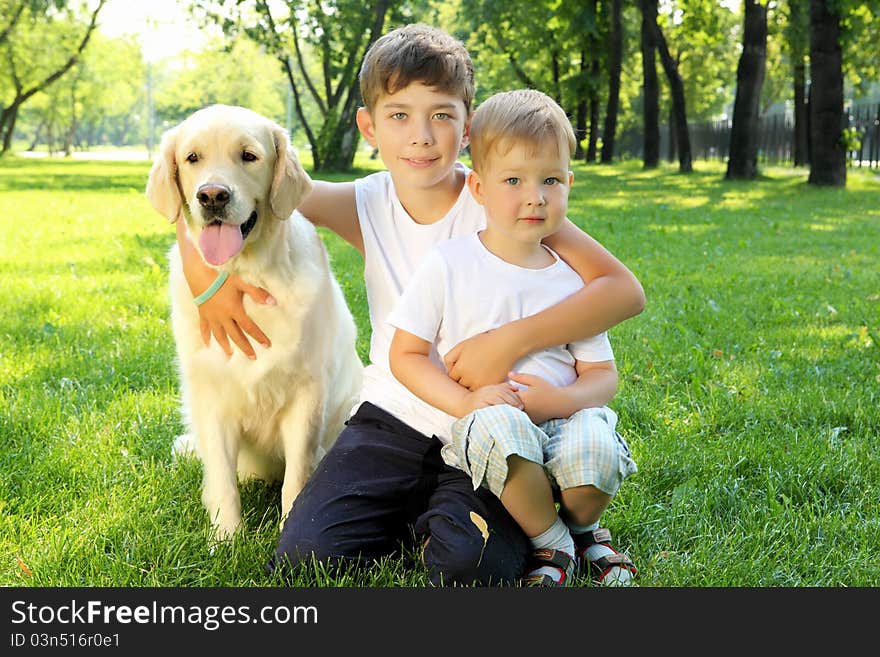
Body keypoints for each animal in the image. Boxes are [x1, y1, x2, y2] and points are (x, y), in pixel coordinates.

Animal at [146, 105, 362, 540]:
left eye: (249, 156)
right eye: (192, 158)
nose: (212, 195)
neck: (249, 278)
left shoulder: (307, 396)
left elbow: (297, 477)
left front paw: (287, 528)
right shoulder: (211, 397)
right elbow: (223, 481)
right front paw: (226, 540)